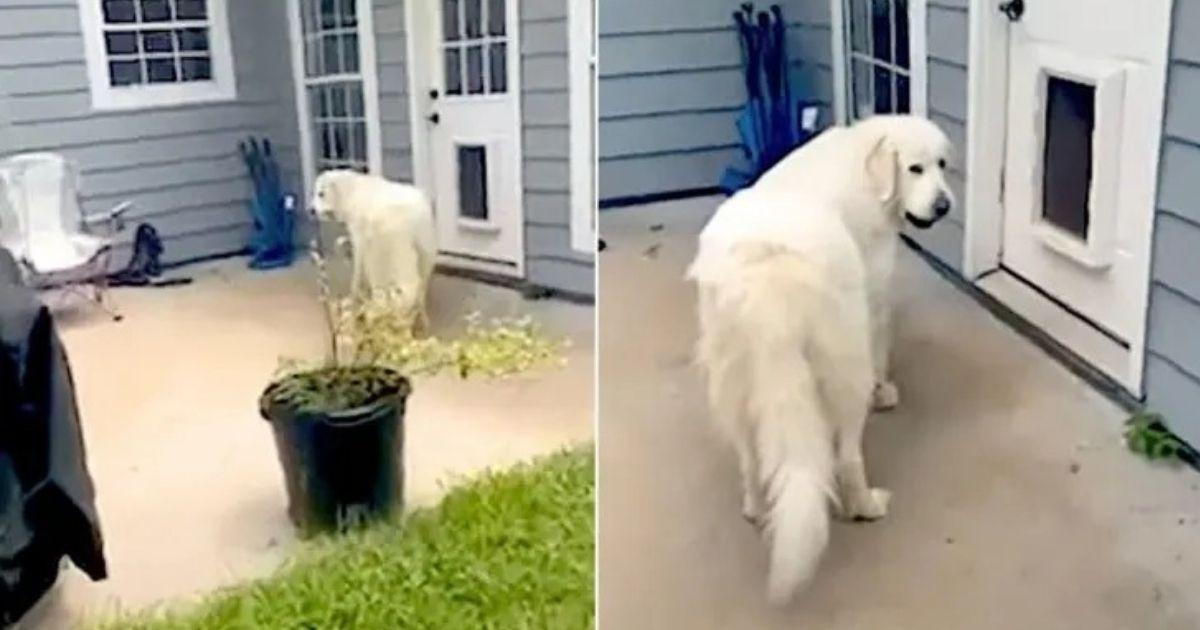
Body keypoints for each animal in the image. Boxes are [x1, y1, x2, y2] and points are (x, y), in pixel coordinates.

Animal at [312, 169, 439, 331]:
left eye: (321, 193)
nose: (311, 210)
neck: (351, 192)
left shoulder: (360, 238)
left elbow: (357, 274)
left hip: (400, 249)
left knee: (409, 284)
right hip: (426, 250)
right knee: (421, 285)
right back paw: (422, 318)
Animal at [686, 115, 955, 602]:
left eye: (942, 164)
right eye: (915, 169)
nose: (944, 206)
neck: (866, 162)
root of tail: (766, 264)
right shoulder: (874, 290)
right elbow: (880, 347)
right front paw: (884, 391)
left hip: (730, 373)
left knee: (750, 457)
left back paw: (756, 508)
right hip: (840, 363)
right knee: (846, 456)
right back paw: (867, 505)